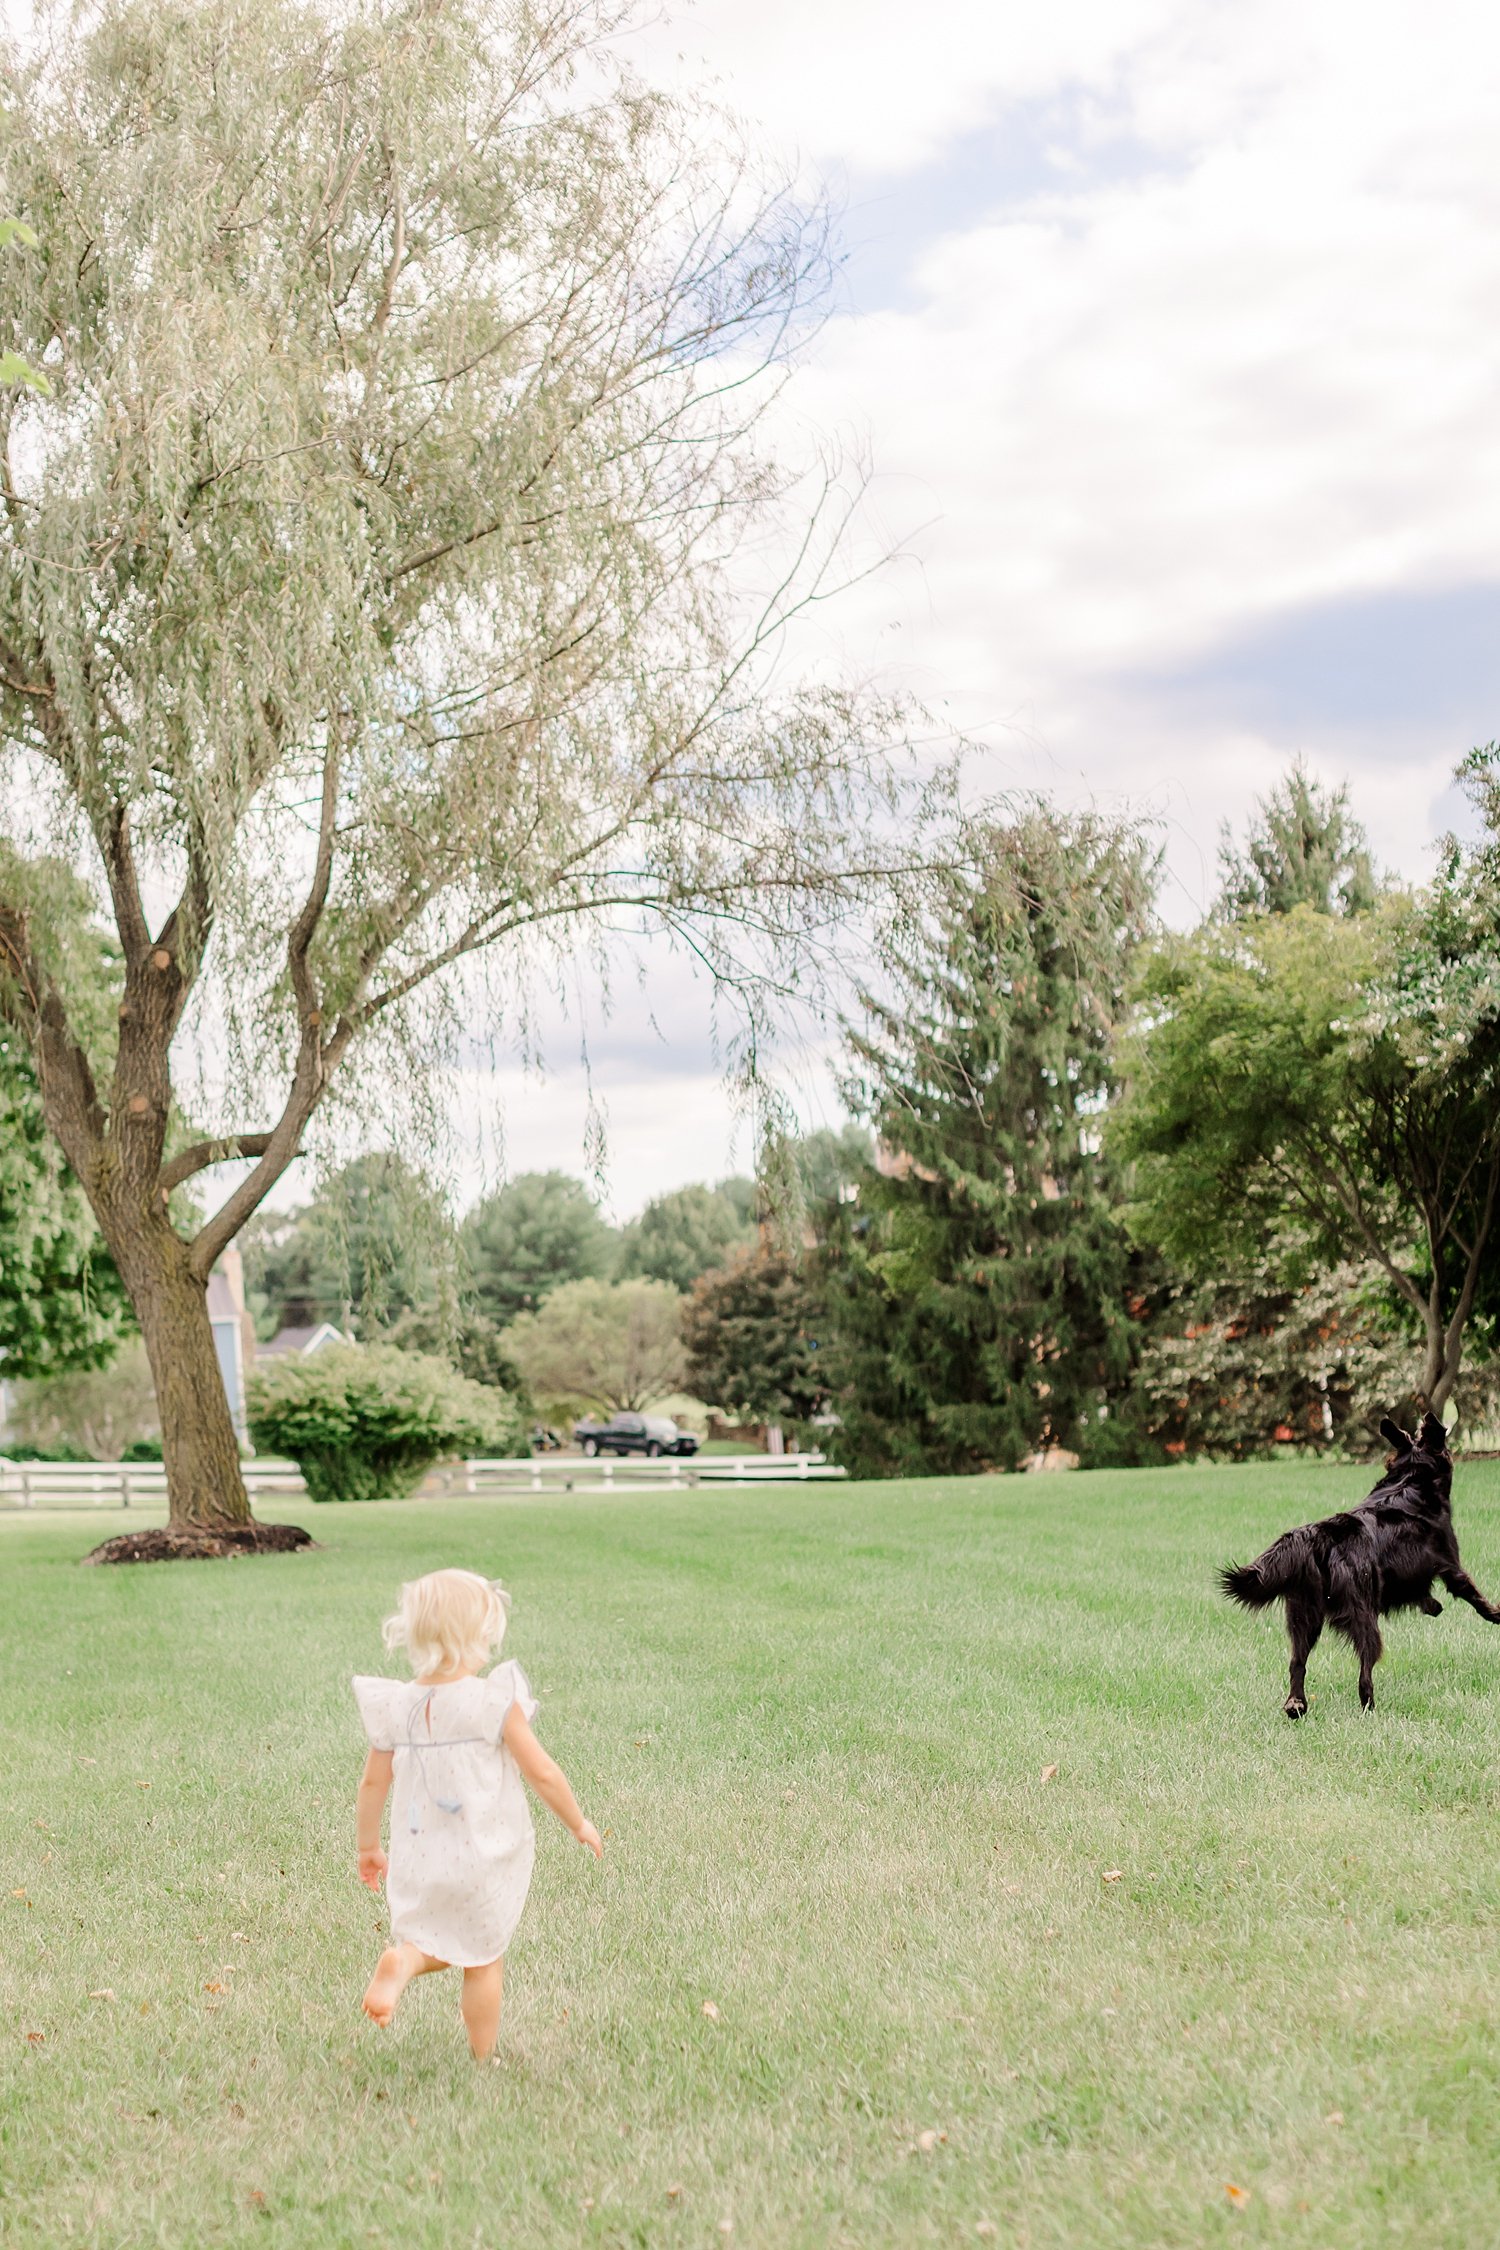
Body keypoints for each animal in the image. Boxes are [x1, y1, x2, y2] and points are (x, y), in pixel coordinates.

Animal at [1223, 1413, 1493, 1710]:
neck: (1410, 1480)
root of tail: (1316, 1536)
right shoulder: (1450, 1565)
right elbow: (1476, 1598)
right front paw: (1496, 1614)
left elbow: (1421, 1593)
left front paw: (1432, 1606)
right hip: (1362, 1614)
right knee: (1364, 1670)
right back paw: (1369, 1706)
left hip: (1304, 1616)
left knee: (1297, 1663)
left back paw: (1296, 1705)